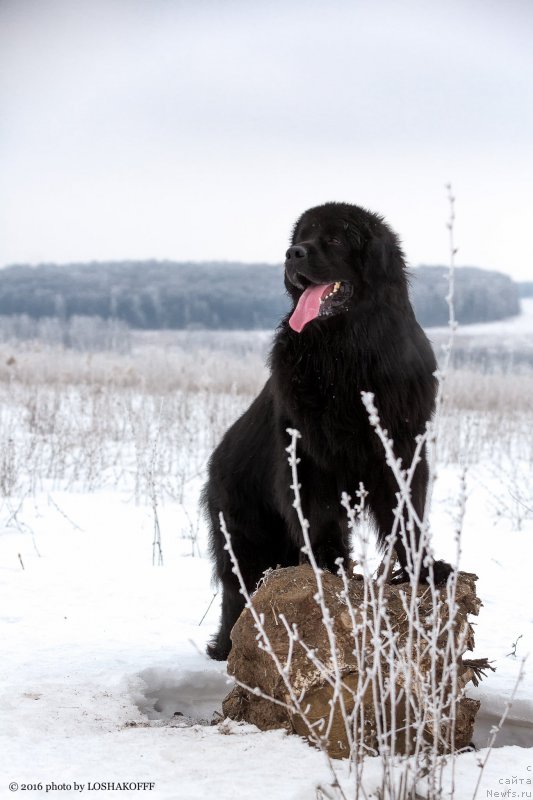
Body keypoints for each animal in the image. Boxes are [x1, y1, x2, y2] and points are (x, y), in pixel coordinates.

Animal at [202, 203, 450, 660]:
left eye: (335, 238)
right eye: (302, 235)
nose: (292, 253)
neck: (344, 352)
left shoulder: (403, 449)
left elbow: (408, 513)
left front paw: (424, 569)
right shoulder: (307, 453)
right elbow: (317, 512)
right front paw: (329, 565)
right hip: (243, 537)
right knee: (237, 592)